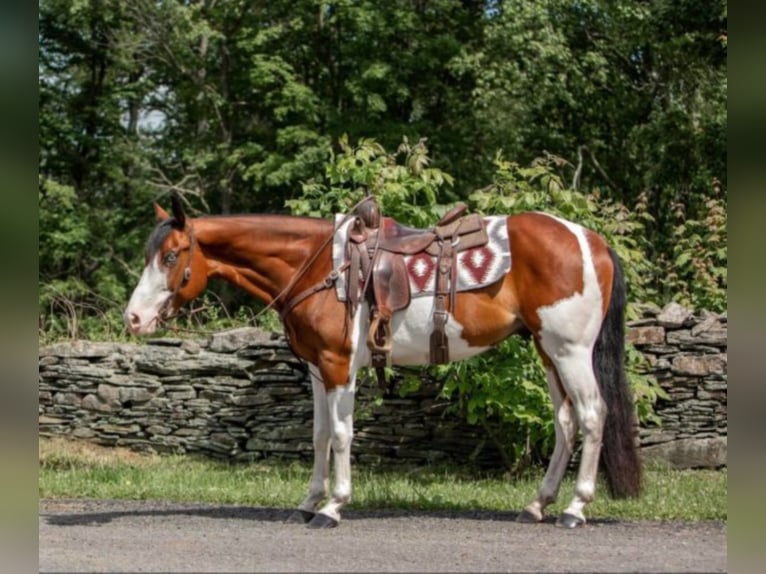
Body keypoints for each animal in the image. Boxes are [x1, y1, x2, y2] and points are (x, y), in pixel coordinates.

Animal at [124, 194, 640, 532]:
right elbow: (318, 435)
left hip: (570, 350)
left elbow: (341, 434)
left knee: (592, 415)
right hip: (547, 350)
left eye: (171, 256)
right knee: (565, 422)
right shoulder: (316, 369)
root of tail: (591, 241)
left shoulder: (339, 366)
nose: (133, 318)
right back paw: (538, 504)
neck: (317, 267)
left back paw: (575, 509)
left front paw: (333, 507)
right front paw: (308, 503)